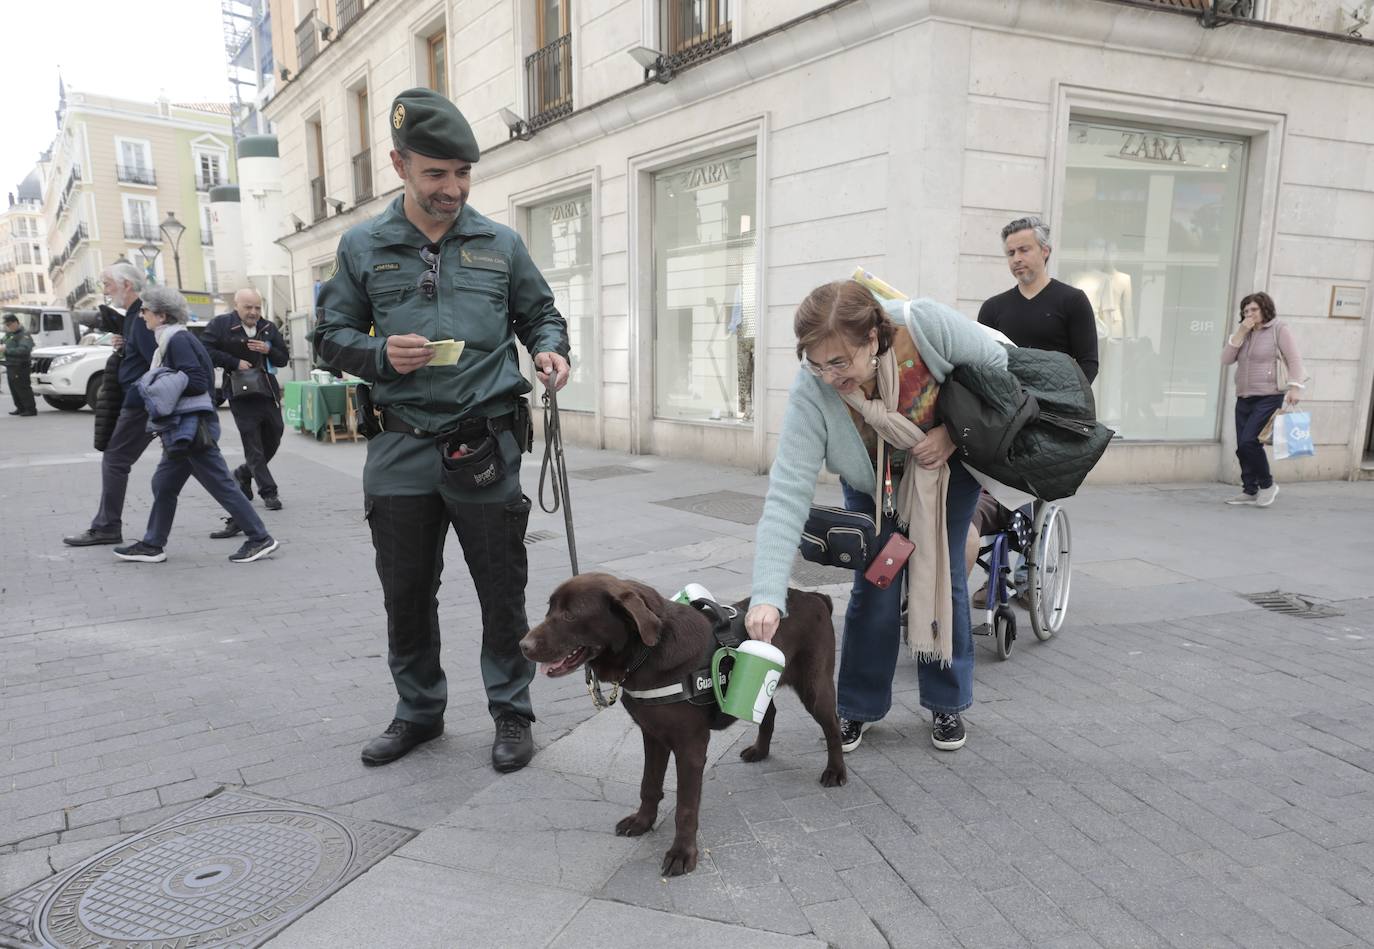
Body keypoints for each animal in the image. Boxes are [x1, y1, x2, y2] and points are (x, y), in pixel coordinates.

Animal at [519, 571, 846, 873]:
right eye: (549, 609)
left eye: (570, 614)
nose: (523, 645)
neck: (646, 653)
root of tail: (816, 597)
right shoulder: (652, 735)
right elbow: (649, 785)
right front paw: (642, 822)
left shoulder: (691, 747)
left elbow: (685, 807)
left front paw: (682, 853)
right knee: (771, 712)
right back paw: (760, 751)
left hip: (815, 688)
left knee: (832, 726)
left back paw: (835, 771)